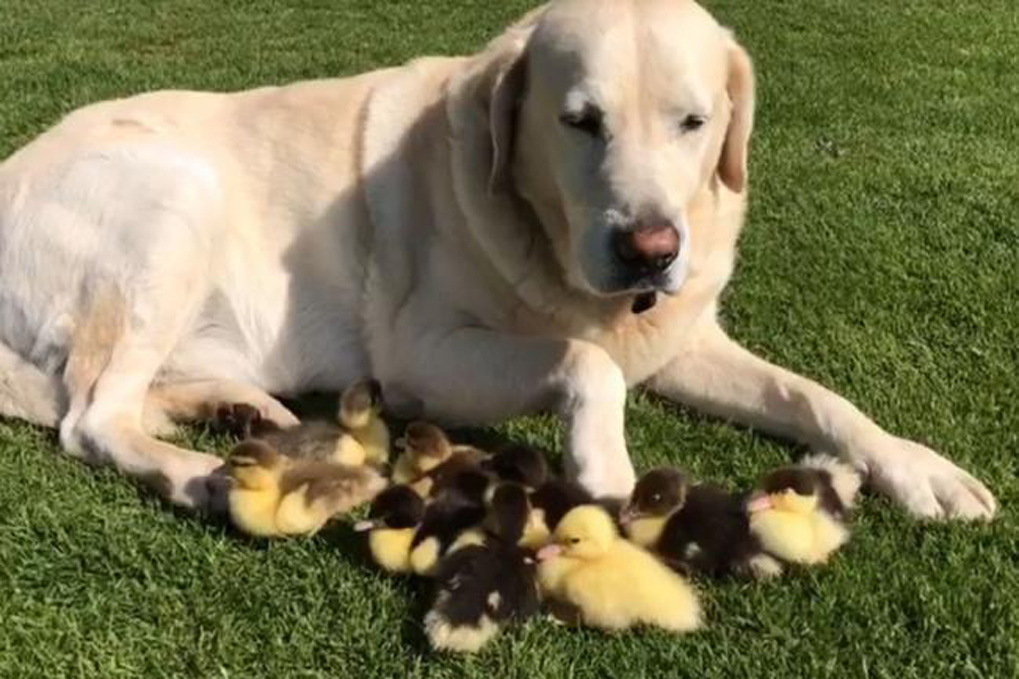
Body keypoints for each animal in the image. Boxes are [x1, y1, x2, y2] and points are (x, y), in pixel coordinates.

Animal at [0, 1, 990, 517]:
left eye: (694, 121)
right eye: (578, 121)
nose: (650, 250)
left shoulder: (682, 336)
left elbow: (814, 396)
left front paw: (918, 468)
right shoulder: (421, 354)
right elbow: (584, 359)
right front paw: (605, 469)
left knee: (106, 393)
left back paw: (239, 409)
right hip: (172, 198)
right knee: (90, 415)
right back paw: (196, 472)